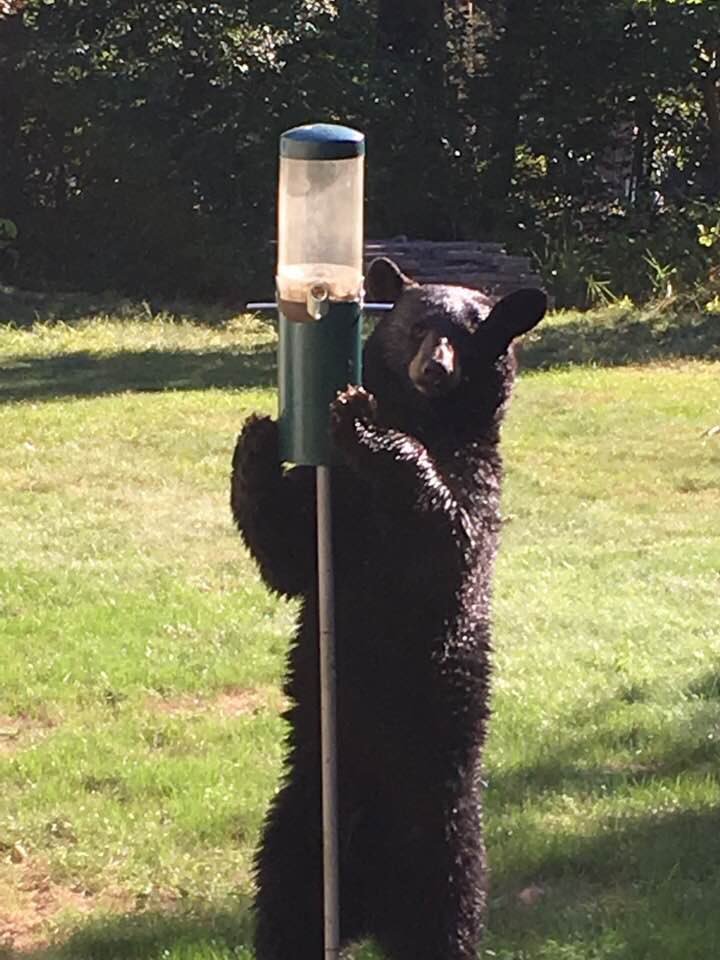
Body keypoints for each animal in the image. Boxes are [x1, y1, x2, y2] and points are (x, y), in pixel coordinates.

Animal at [230, 257, 546, 960]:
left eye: (471, 335)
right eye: (418, 326)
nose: (435, 368)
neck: (430, 420)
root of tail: (368, 909)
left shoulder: (477, 492)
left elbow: (442, 538)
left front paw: (363, 418)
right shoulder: (336, 501)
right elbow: (288, 553)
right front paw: (257, 437)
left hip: (446, 845)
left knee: (446, 922)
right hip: (295, 831)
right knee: (283, 910)